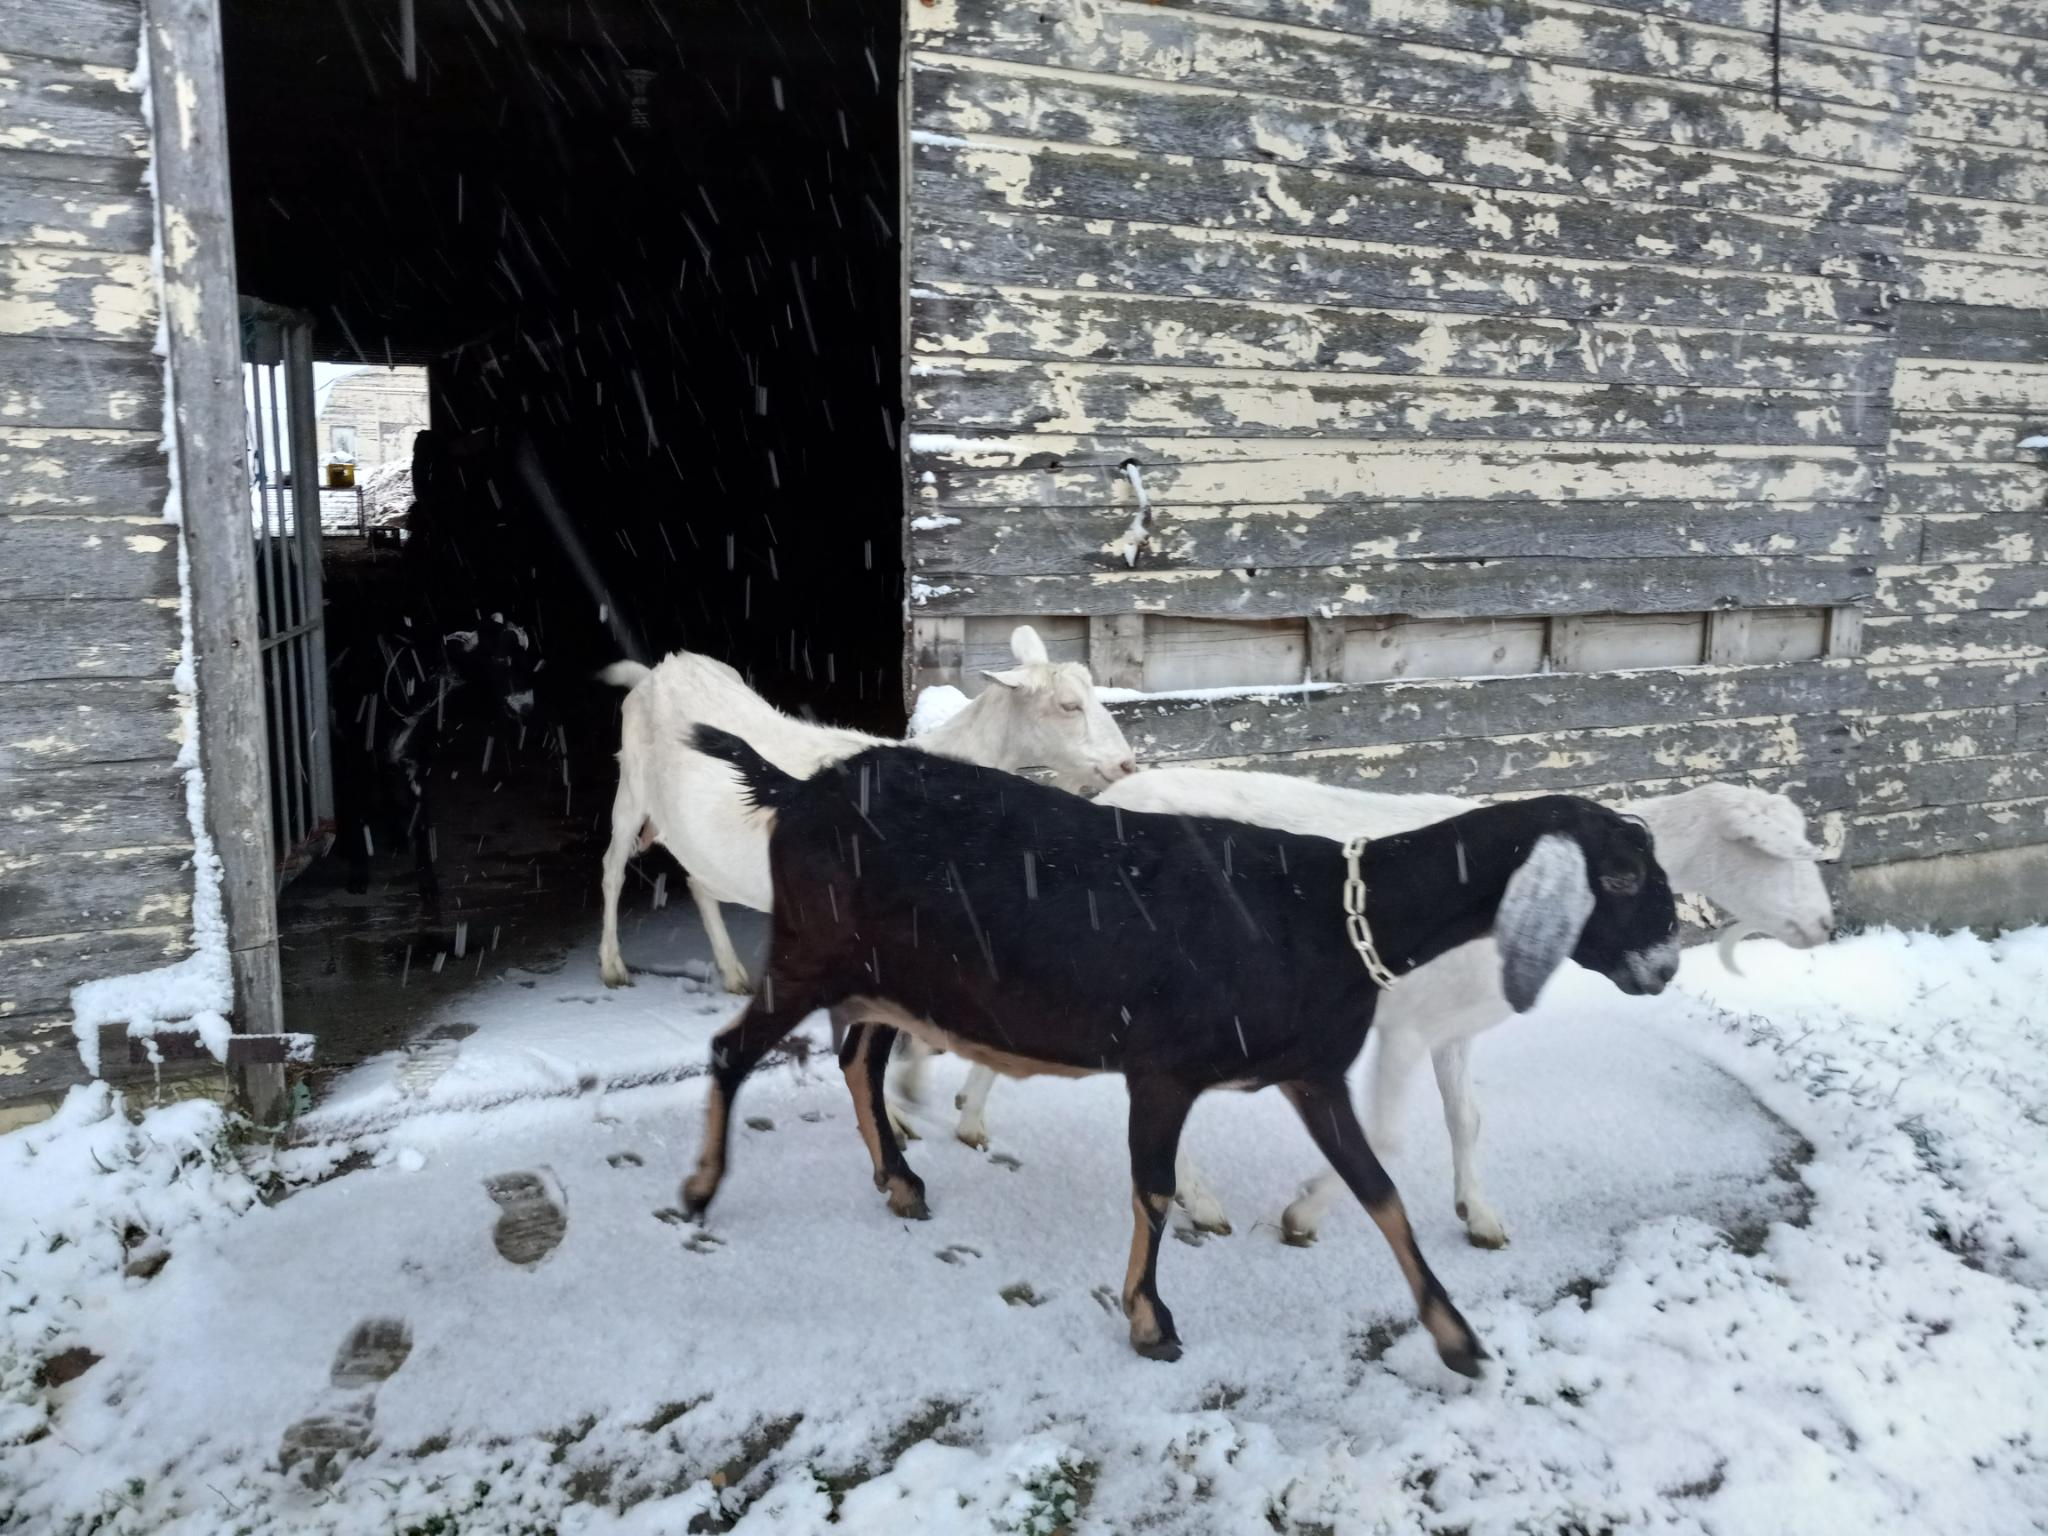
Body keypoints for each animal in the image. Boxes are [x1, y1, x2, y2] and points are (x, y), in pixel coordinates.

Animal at [595, 626, 1136, 994]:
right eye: (1068, 705)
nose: (1127, 763)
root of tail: (660, 670)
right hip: (630, 788)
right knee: (612, 868)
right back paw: (612, 966)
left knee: (698, 883)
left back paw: (733, 974)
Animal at [676, 726, 1681, 1373]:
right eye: (1623, 873)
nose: (1667, 965)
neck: (1326, 915)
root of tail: (798, 788)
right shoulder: (1161, 1070)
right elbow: (1154, 1191)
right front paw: (1151, 1322)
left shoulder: (1311, 1075)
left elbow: (1381, 1192)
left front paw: (1455, 1335)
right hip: (811, 954)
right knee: (732, 1051)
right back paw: (701, 1189)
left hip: (891, 974)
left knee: (860, 1059)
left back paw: (900, 1182)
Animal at [936, 772, 1822, 1246]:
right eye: (1626, 878)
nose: (1822, 925)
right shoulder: (1404, 1026)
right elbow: (1388, 1135)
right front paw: (1303, 1212)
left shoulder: (1455, 1029)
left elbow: (1467, 1118)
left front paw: (1479, 1213)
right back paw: (1197, 1196)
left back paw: (972, 1120)